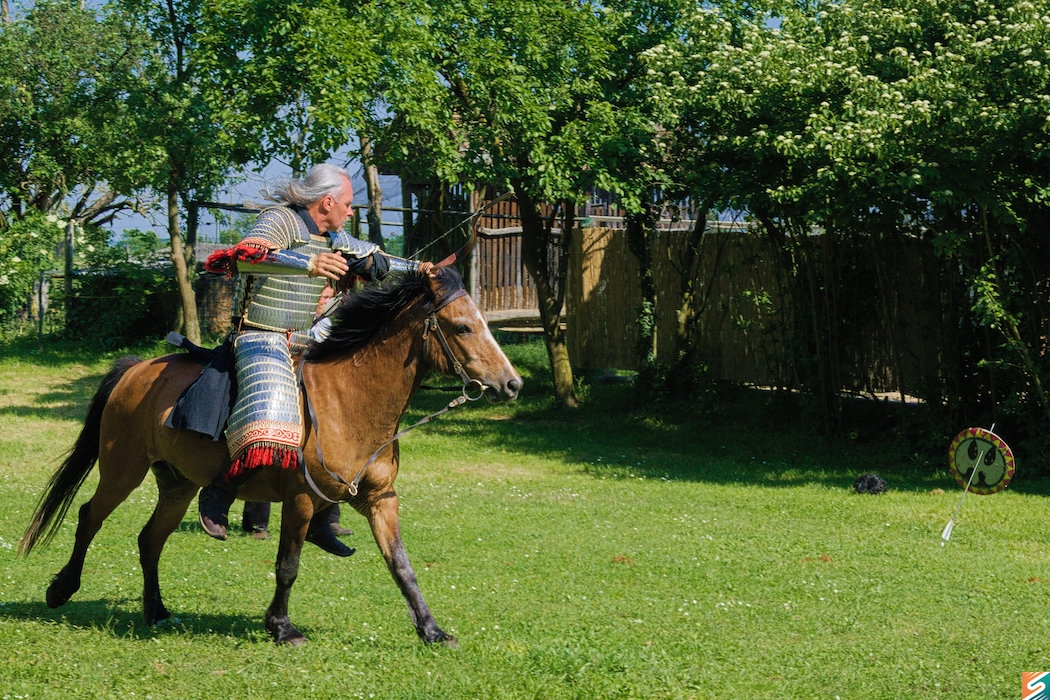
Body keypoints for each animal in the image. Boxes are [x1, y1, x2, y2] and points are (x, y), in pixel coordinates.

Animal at [19, 266, 522, 646]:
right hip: (123, 470)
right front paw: (282, 627)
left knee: (150, 539)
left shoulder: (381, 499)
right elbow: (288, 566)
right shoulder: (301, 499)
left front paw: (432, 630)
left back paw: (157, 610)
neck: (349, 402)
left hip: (177, 484)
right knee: (89, 516)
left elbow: (401, 566)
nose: (511, 384)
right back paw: (61, 589)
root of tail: (136, 370)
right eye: (462, 327)